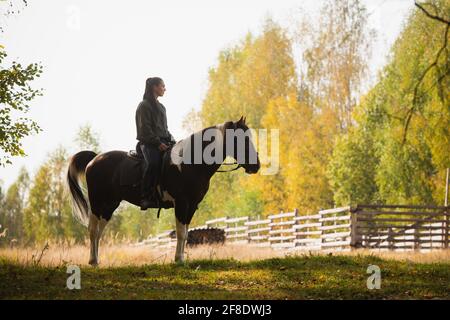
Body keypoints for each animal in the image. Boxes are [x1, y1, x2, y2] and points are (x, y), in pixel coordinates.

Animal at [65, 116, 258, 266]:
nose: (256, 166)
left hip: (110, 205)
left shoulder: (192, 206)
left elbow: (185, 234)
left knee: (98, 231)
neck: (190, 164)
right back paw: (92, 261)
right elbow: (180, 232)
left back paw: (96, 260)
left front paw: (181, 258)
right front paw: (178, 260)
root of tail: (94, 159)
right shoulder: (181, 203)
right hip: (97, 202)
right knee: (92, 230)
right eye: (241, 139)